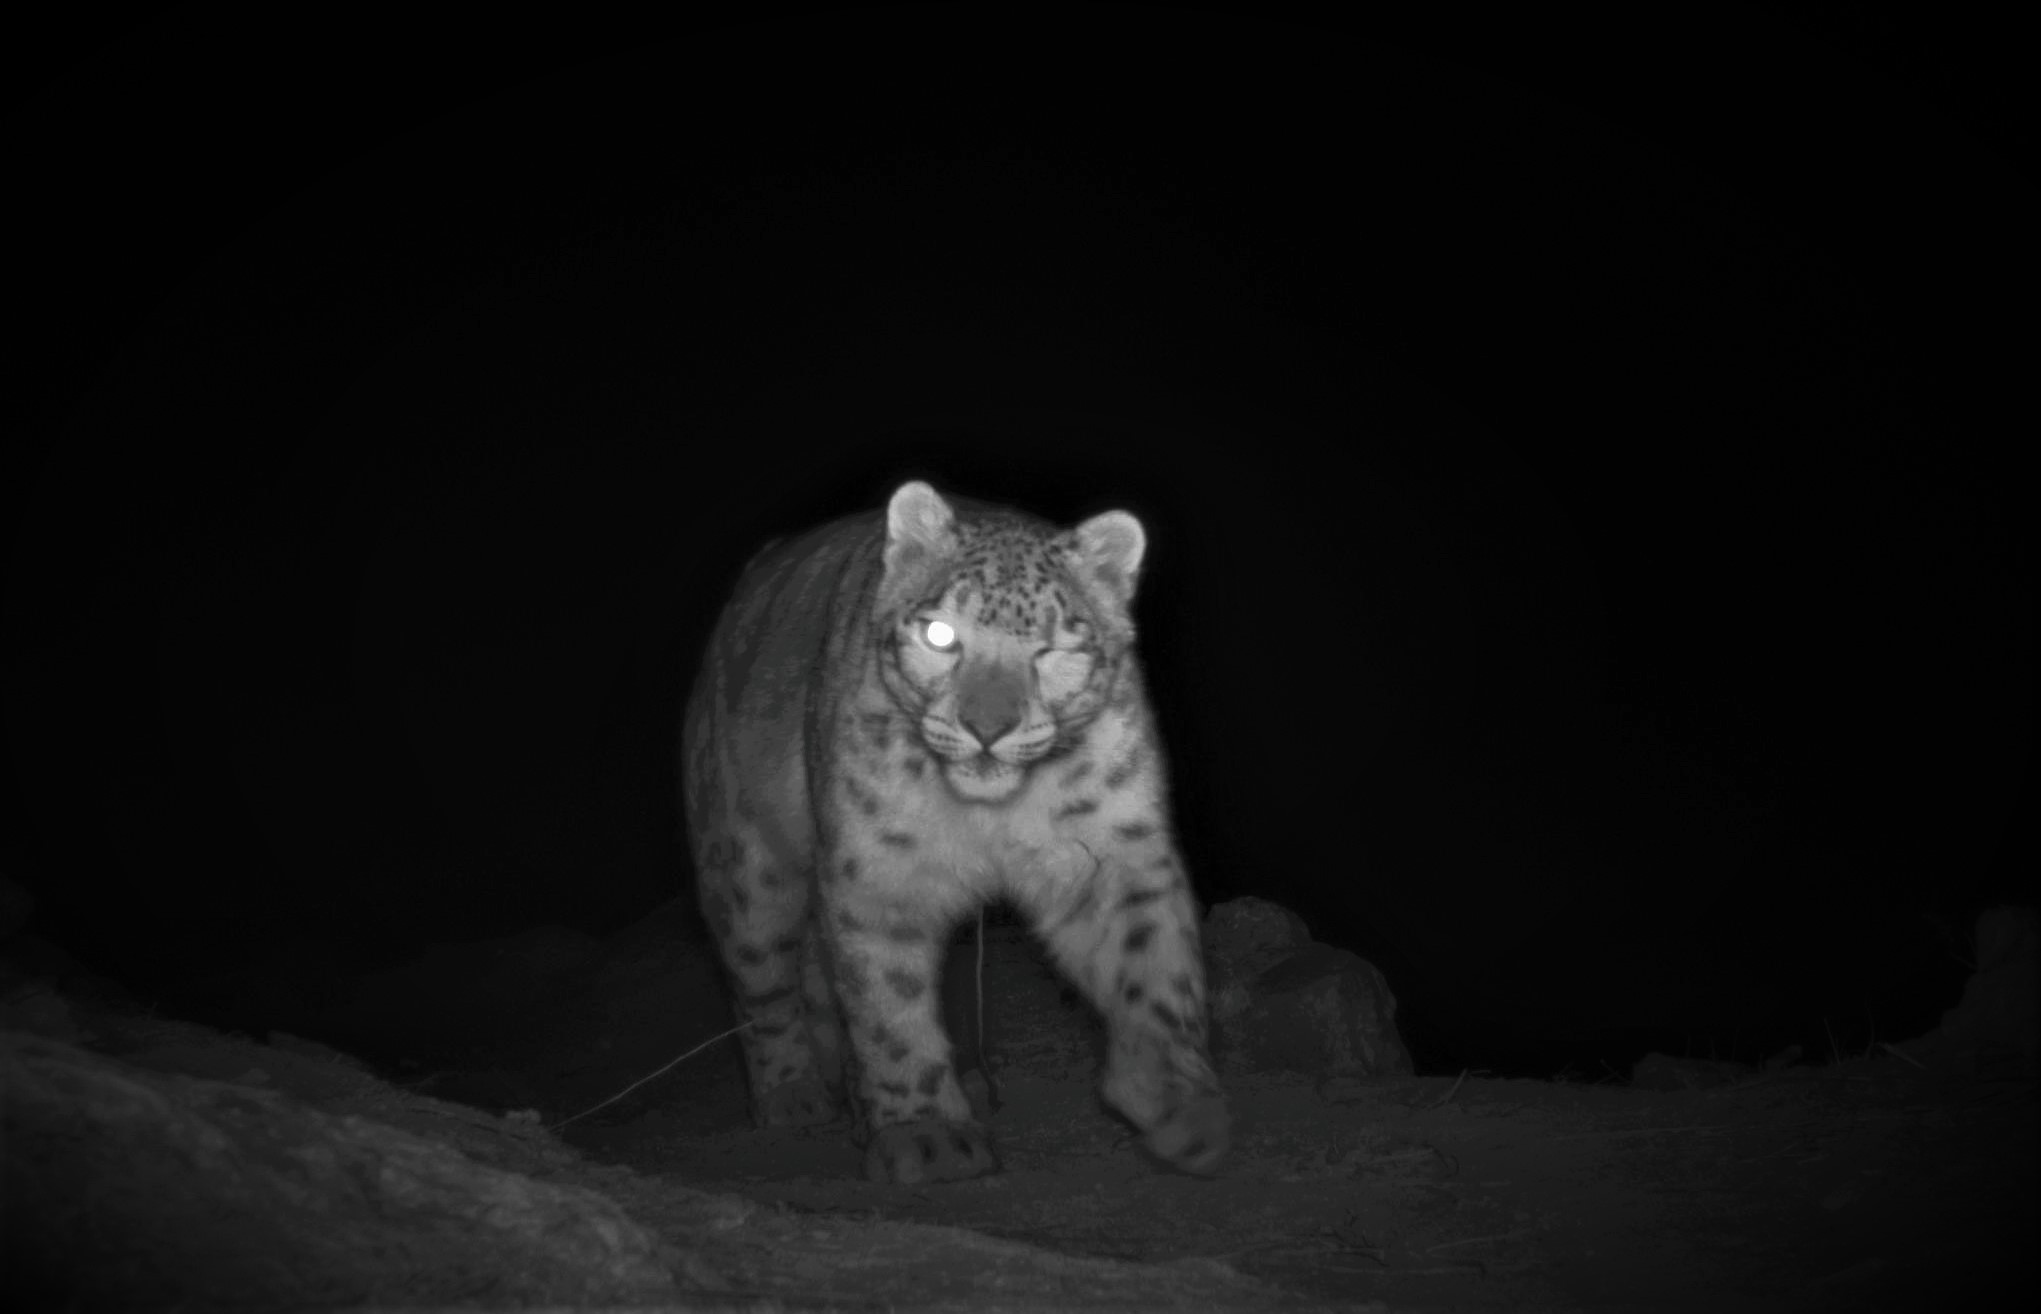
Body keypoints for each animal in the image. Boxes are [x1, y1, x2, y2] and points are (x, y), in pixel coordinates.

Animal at [681, 480, 1229, 1185]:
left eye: (1055, 648)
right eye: (940, 634)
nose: (987, 727)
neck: (989, 818)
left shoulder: (1112, 847)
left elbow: (1153, 963)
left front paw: (1180, 1105)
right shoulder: (876, 866)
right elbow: (887, 1001)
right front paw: (928, 1136)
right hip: (746, 864)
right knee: (762, 982)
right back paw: (793, 1094)